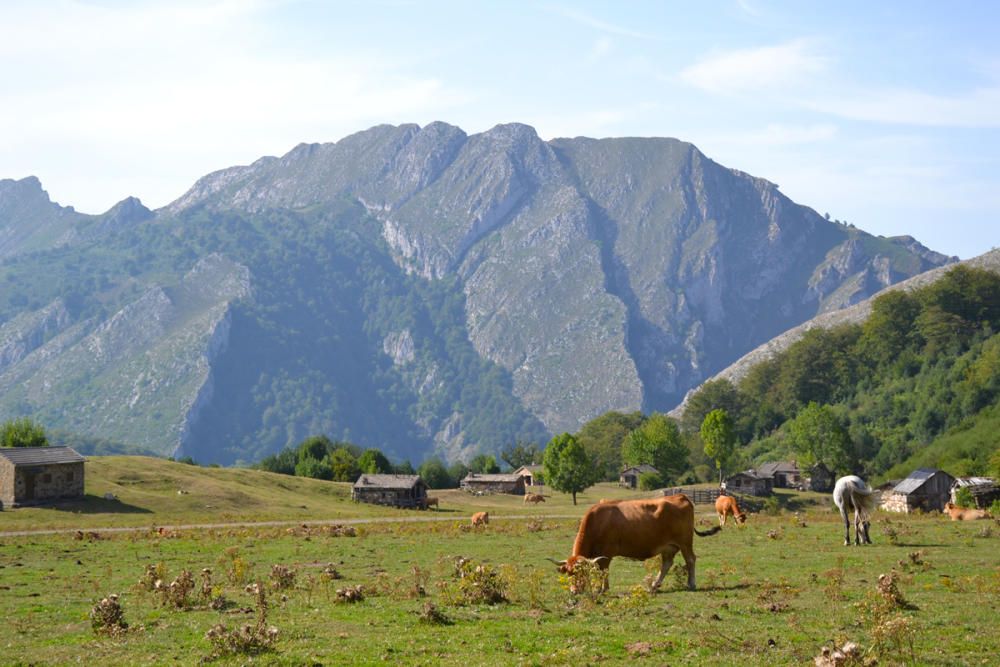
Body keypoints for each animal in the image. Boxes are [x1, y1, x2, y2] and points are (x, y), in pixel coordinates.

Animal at [548, 494, 720, 592]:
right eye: (568, 573)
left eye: (582, 573)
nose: (574, 591)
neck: (597, 521)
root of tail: (681, 496)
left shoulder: (607, 553)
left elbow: (604, 571)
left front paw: (603, 588)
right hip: (668, 547)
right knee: (666, 564)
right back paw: (654, 585)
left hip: (685, 543)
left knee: (690, 560)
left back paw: (691, 584)